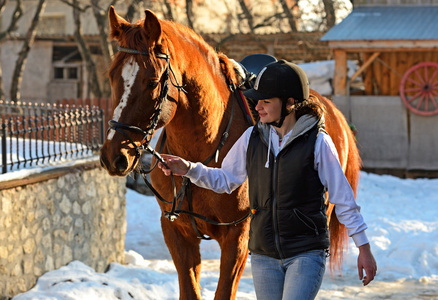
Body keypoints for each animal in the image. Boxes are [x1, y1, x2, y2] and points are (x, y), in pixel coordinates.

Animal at [101, 5, 362, 298]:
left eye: (152, 81)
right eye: (112, 76)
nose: (113, 155)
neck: (204, 149)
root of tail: (333, 112)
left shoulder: (237, 236)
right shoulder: (176, 231)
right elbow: (190, 290)